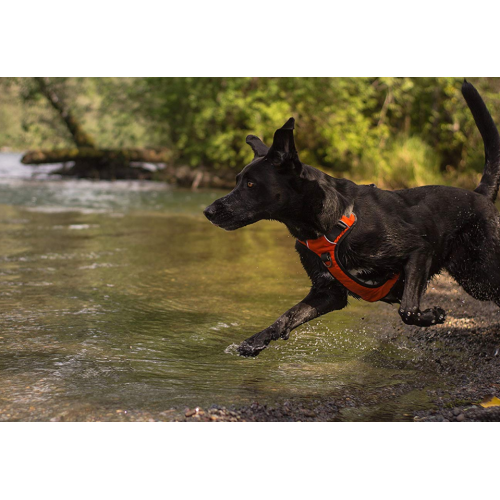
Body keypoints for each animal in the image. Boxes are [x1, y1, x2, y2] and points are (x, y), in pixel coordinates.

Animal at [203, 81, 500, 356]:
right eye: (237, 180)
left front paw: (433, 315)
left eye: (251, 184)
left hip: (482, 271)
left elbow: (407, 309)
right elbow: (286, 316)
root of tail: (480, 195)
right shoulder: (327, 292)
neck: (327, 223)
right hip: (472, 277)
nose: (208, 211)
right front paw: (256, 341)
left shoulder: (419, 251)